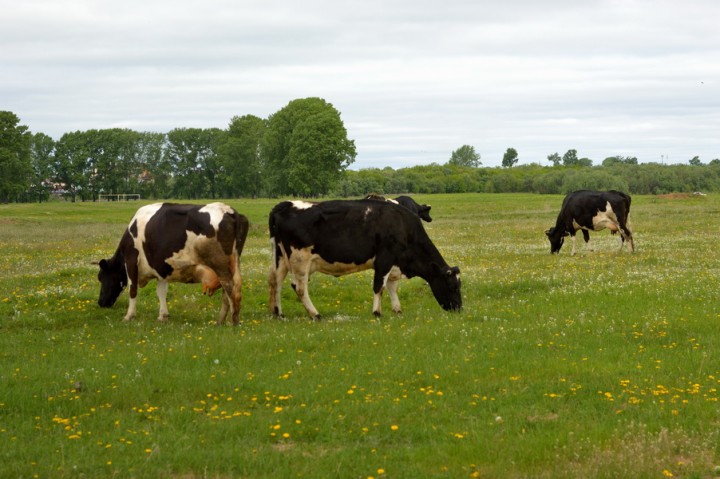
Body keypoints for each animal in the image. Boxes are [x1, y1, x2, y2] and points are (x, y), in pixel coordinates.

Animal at [95, 202, 249, 326]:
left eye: (102, 277)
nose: (101, 302)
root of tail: (229, 210)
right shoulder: (161, 269)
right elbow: (161, 291)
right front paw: (163, 316)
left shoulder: (131, 260)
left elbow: (132, 290)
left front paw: (129, 316)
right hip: (233, 264)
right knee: (229, 292)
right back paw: (220, 321)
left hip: (221, 266)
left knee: (231, 290)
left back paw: (233, 322)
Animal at [268, 199, 462, 318]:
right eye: (452, 286)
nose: (459, 309)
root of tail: (285, 205)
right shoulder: (385, 258)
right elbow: (379, 286)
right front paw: (377, 312)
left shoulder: (394, 263)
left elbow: (392, 286)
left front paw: (397, 310)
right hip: (300, 259)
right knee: (299, 287)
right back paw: (315, 314)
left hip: (280, 257)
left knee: (275, 281)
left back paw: (278, 313)